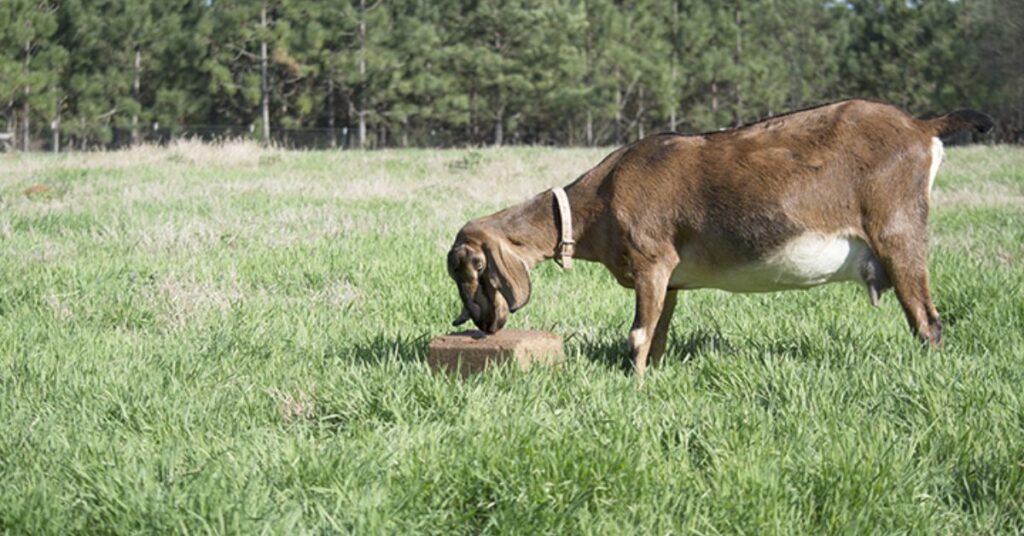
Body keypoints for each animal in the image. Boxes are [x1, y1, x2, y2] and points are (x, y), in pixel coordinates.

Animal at [448, 101, 991, 377]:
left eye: (470, 268)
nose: (481, 324)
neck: (597, 201)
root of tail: (921, 127)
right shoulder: (668, 280)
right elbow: (658, 335)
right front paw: (651, 378)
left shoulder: (651, 260)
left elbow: (638, 334)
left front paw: (634, 387)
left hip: (899, 230)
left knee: (927, 320)